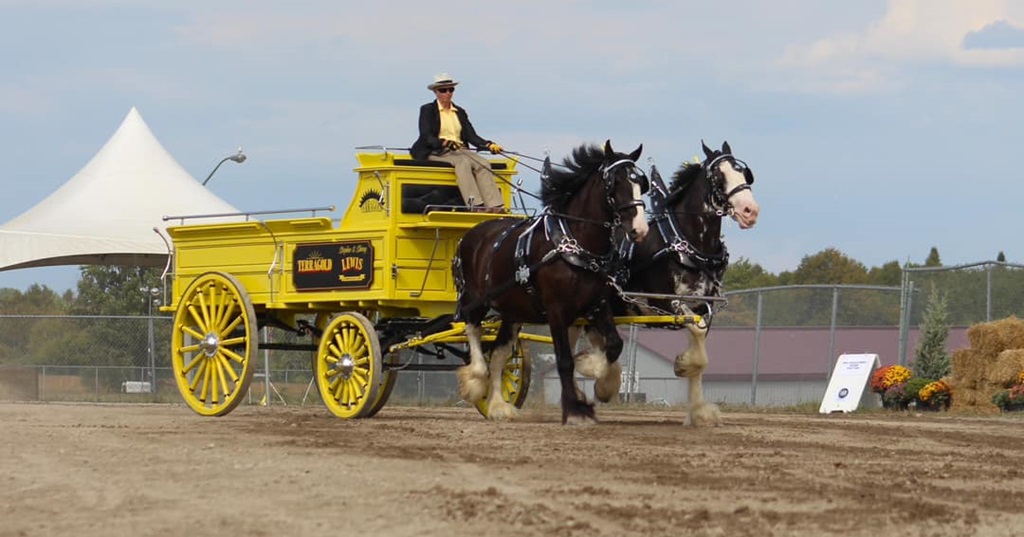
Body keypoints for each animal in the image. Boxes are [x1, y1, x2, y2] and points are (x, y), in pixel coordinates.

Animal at [452, 140, 650, 424]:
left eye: (641, 183)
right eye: (615, 183)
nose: (640, 229)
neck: (574, 244)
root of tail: (472, 233)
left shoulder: (597, 304)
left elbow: (614, 344)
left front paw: (599, 380)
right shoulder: (556, 309)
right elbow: (565, 360)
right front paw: (575, 410)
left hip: (513, 311)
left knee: (500, 354)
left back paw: (499, 406)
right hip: (474, 299)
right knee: (473, 330)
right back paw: (476, 380)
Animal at [572, 140, 759, 426]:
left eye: (744, 173)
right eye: (719, 176)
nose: (750, 211)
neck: (687, 245)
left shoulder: (705, 307)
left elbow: (701, 352)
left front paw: (698, 411)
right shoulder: (670, 303)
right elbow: (697, 343)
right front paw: (683, 365)